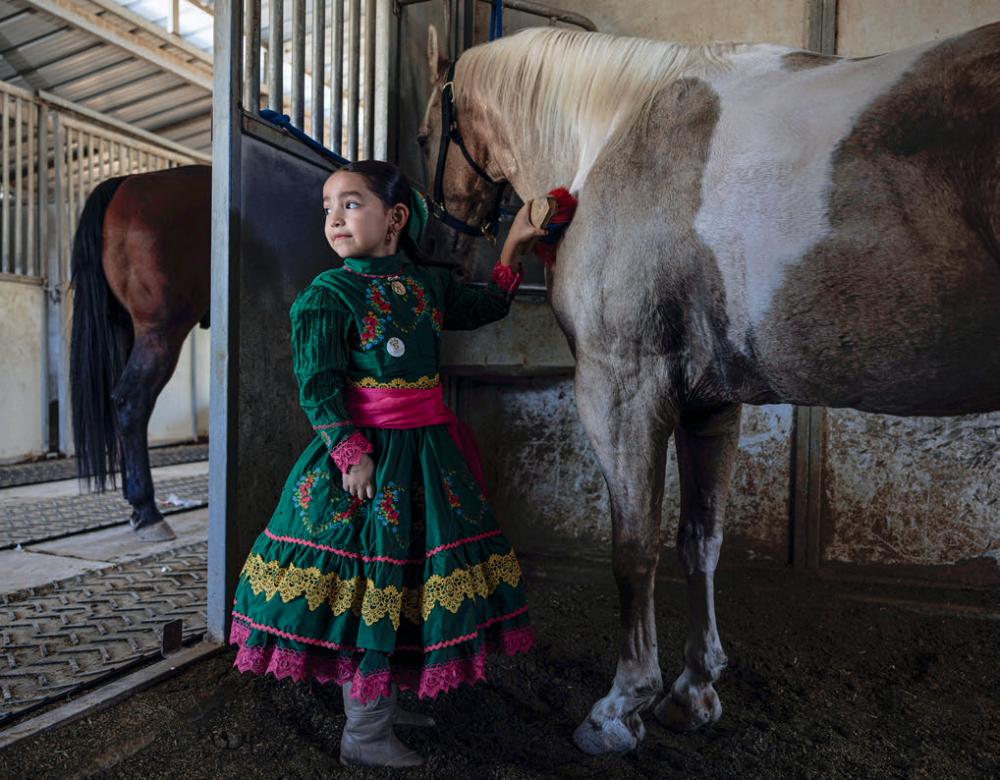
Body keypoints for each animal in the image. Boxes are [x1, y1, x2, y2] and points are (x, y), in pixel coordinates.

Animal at [418, 23, 1000, 754]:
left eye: (423, 135)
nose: (435, 251)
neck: (613, 135)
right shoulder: (711, 405)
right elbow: (701, 540)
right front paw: (692, 693)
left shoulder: (621, 390)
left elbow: (634, 550)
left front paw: (620, 708)